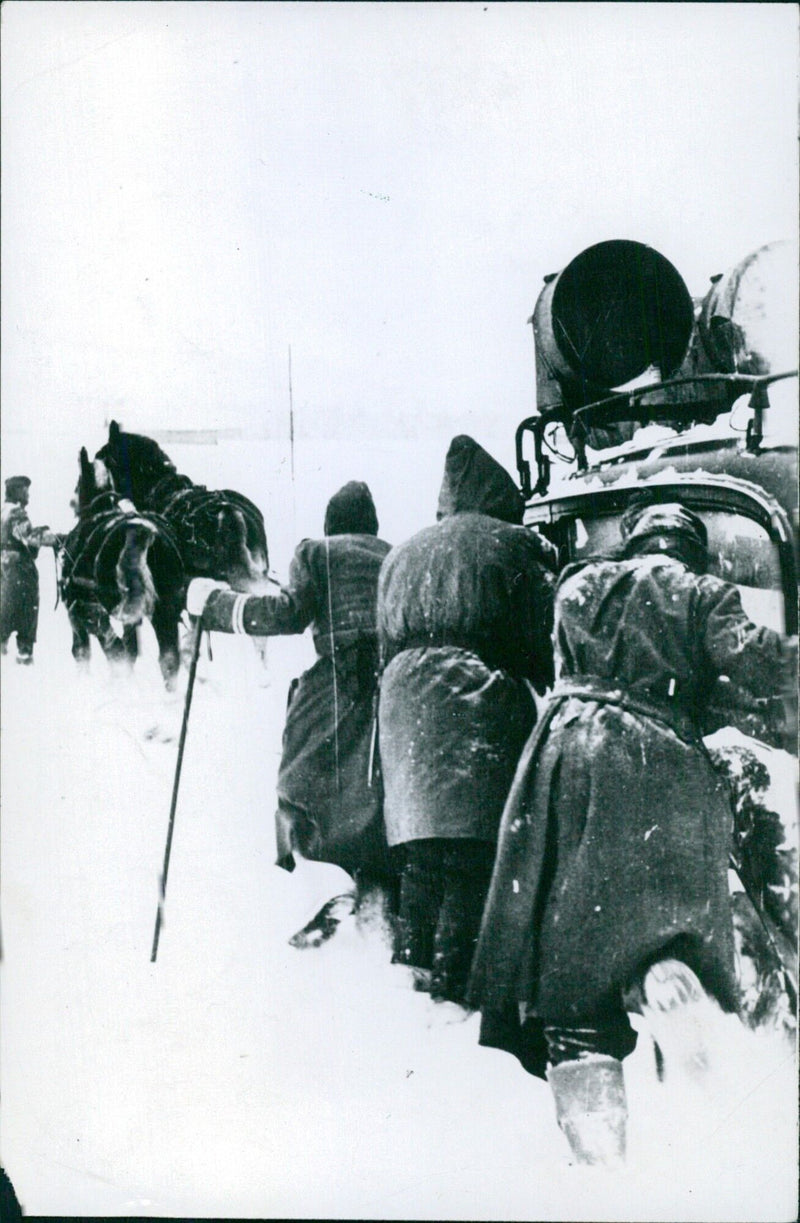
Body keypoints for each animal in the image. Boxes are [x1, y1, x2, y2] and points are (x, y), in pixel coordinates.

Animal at [60, 447, 185, 689]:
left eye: (79, 483)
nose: (71, 503)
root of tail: (140, 531)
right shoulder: (133, 619)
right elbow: (132, 649)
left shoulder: (76, 613)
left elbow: (82, 652)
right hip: (164, 611)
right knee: (168, 660)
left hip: (96, 610)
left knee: (114, 650)